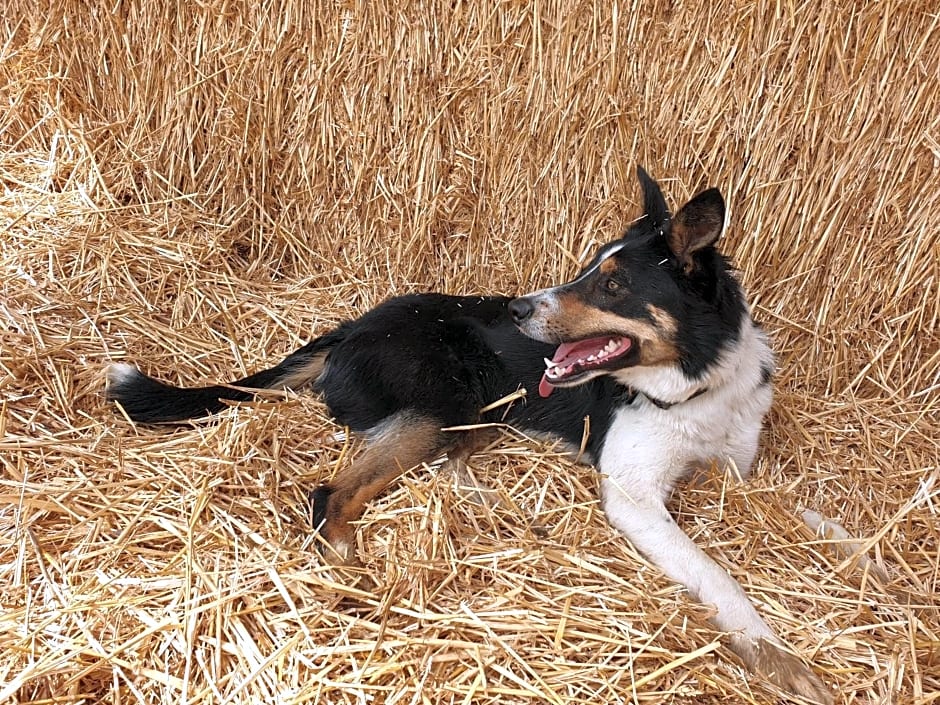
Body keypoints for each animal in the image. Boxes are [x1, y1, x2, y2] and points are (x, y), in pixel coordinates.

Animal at [104, 168, 828, 700]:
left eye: (614, 284)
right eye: (590, 267)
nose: (518, 308)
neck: (698, 381)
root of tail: (351, 327)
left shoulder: (743, 477)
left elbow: (825, 524)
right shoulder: (634, 497)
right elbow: (717, 577)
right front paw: (782, 658)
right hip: (444, 403)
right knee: (330, 495)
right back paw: (356, 580)